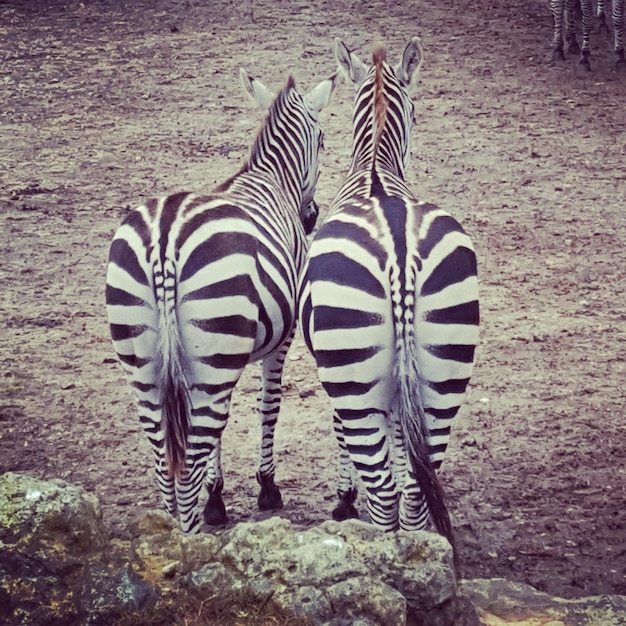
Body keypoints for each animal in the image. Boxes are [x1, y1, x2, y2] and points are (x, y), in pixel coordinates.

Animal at [105, 69, 334, 536]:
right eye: (322, 140)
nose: (311, 218)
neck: (272, 178)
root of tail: (165, 240)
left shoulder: (212, 363)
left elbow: (220, 429)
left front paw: (218, 495)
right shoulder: (280, 340)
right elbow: (269, 407)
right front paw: (266, 488)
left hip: (144, 367)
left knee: (165, 463)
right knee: (186, 468)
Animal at [298, 39, 478, 556]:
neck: (374, 169)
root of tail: (399, 252)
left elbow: (340, 434)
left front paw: (342, 499)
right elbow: (404, 449)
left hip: (353, 378)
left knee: (383, 489)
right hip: (444, 373)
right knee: (417, 486)